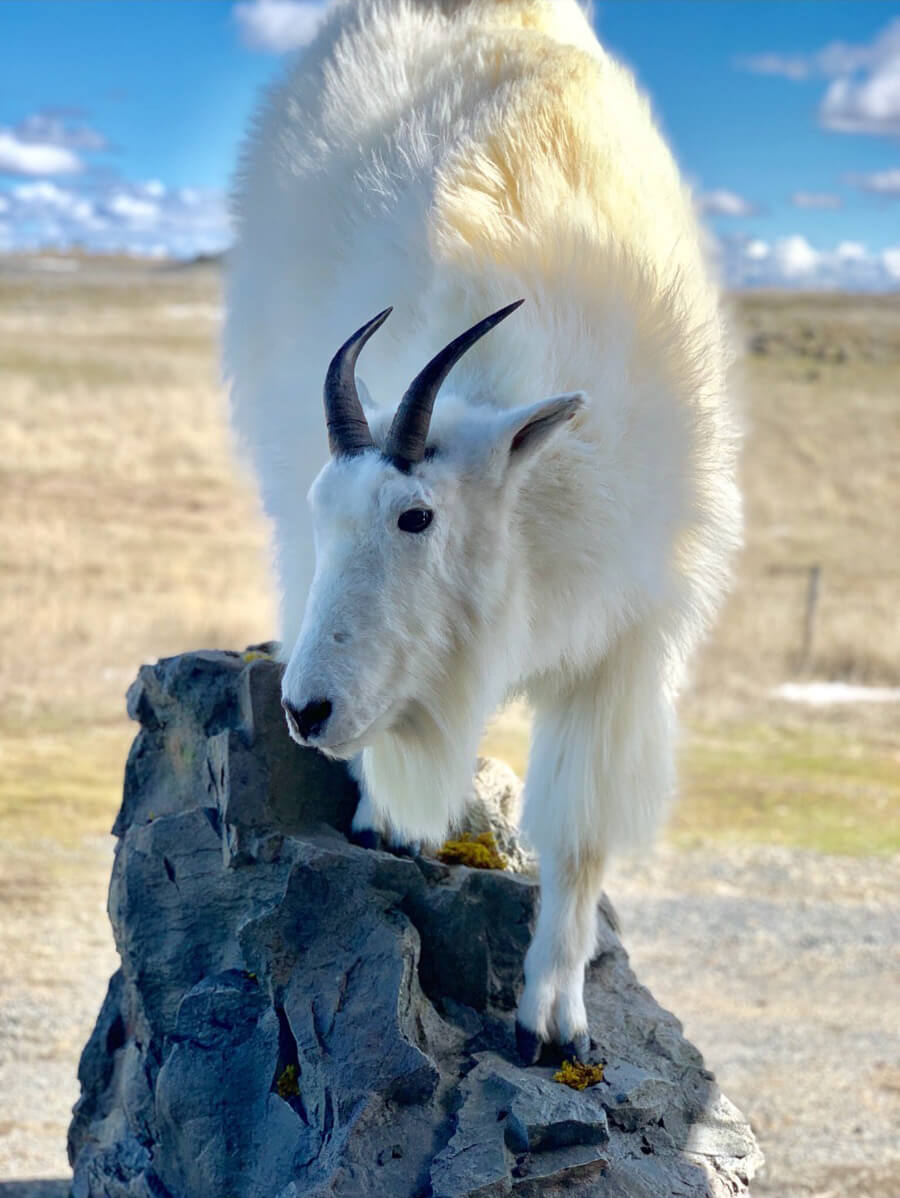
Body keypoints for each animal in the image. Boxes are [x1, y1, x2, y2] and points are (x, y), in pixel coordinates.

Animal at [225, 0, 741, 1062]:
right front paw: (394, 818)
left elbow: (578, 835)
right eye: (332, 508)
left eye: (417, 516)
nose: (305, 711)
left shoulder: (625, 653)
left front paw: (555, 1020)